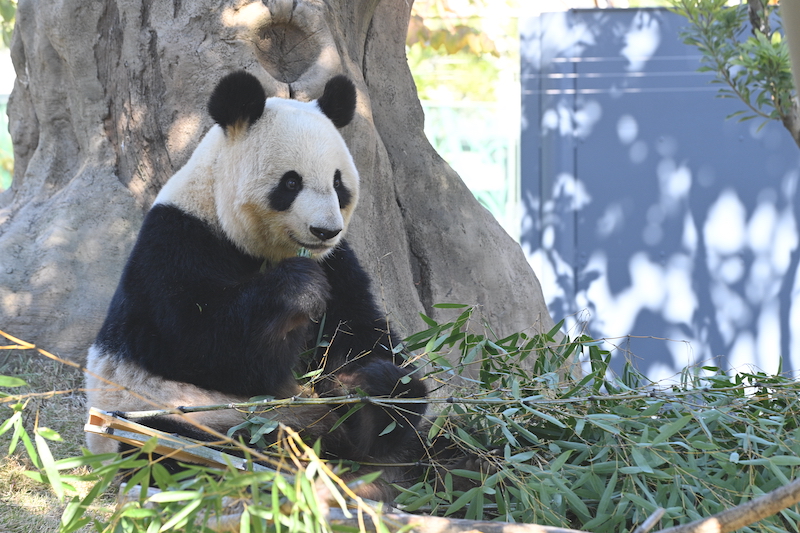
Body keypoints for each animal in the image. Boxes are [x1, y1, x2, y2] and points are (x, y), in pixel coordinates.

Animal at [86, 70, 432, 498]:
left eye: (338, 183)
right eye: (291, 183)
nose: (325, 231)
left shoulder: (338, 264)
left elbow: (361, 334)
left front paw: (366, 384)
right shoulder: (174, 245)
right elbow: (199, 342)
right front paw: (298, 291)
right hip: (170, 413)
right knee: (168, 445)